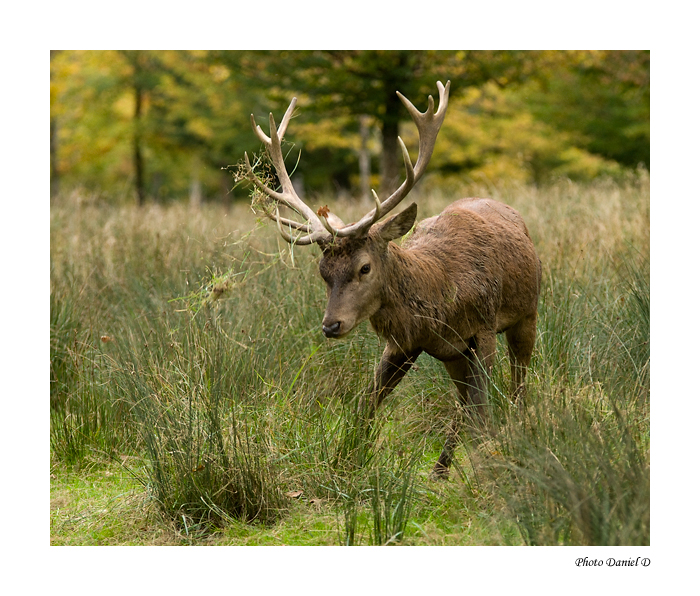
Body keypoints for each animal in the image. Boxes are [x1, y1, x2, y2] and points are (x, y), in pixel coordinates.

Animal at [241, 81, 540, 478]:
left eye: (364, 268)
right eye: (322, 272)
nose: (331, 325)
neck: (443, 296)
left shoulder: (483, 327)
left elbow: (483, 412)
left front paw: (489, 466)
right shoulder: (407, 342)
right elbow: (366, 404)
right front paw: (344, 462)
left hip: (527, 313)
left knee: (517, 385)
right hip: (455, 354)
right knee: (461, 400)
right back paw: (440, 469)